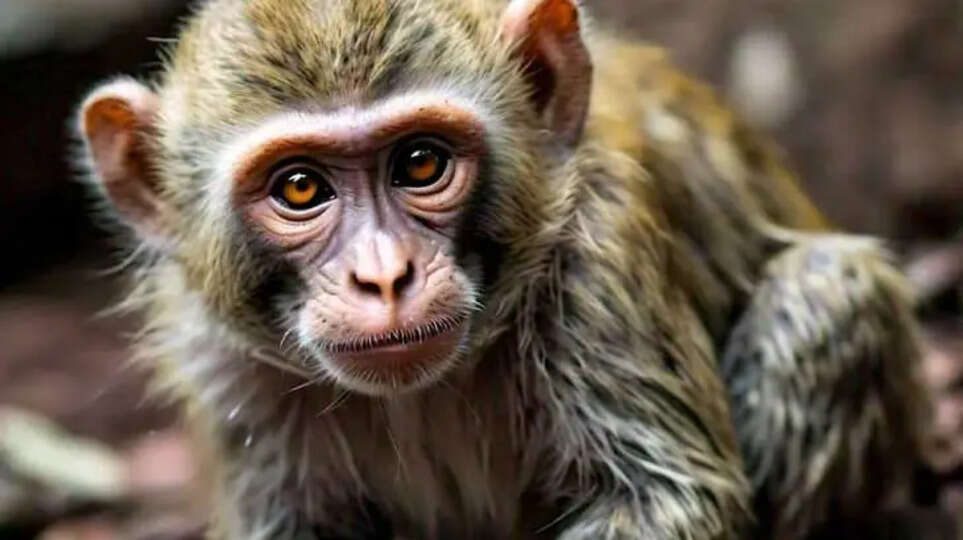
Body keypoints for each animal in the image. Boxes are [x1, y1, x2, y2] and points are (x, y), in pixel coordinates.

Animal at [74, 0, 927, 539]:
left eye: (420, 164)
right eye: (300, 188)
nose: (383, 277)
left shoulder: (599, 259)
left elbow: (663, 499)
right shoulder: (222, 360)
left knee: (827, 292)